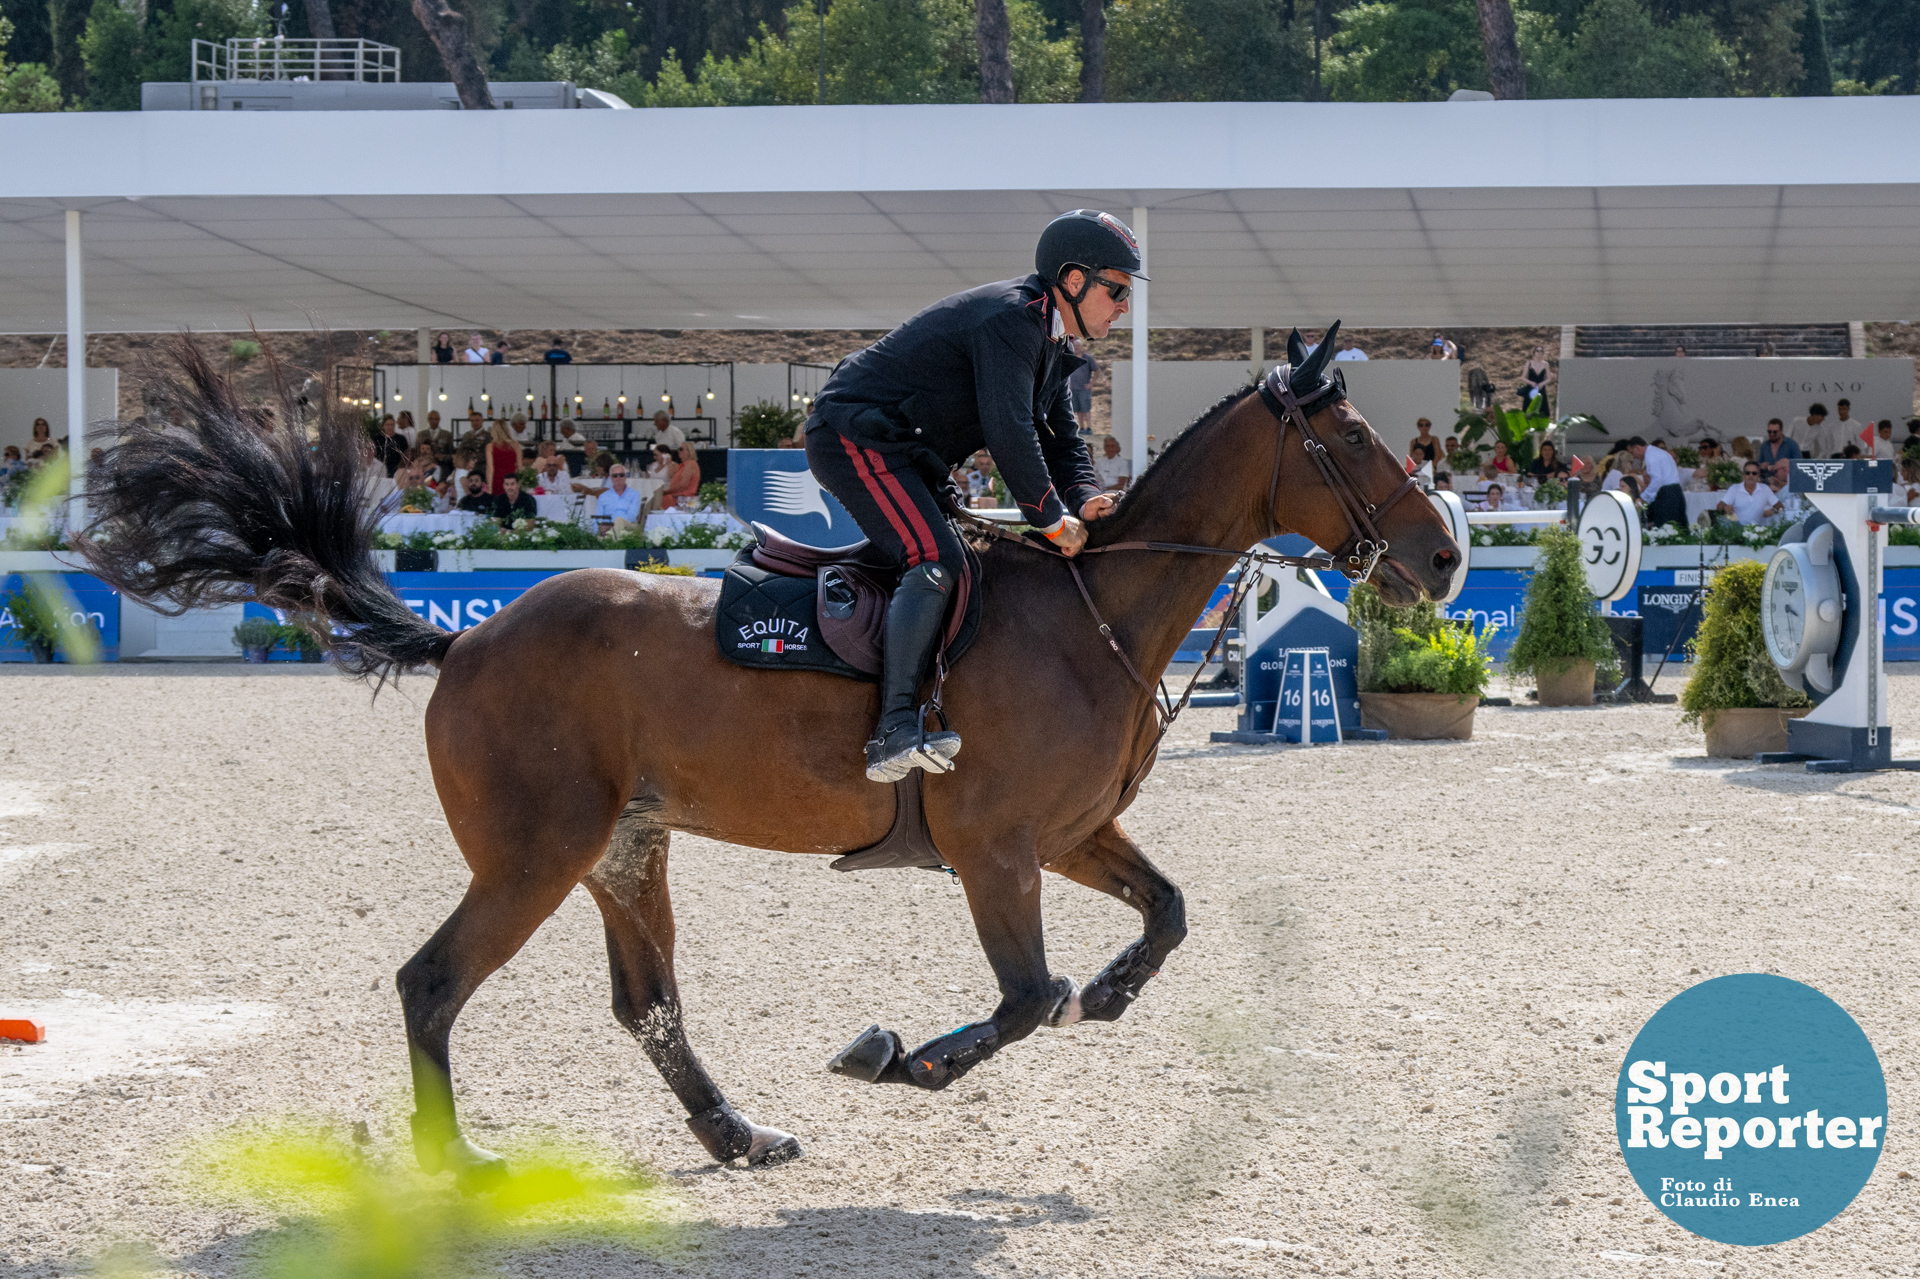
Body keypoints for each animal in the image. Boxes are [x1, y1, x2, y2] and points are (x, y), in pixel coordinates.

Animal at [78, 326, 1451, 1175]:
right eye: (1351, 444)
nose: (1440, 559)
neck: (1093, 611)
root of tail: (465, 643)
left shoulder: (1070, 835)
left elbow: (1164, 913)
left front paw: (1110, 993)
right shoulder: (996, 850)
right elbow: (1024, 995)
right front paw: (903, 1058)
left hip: (625, 852)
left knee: (648, 1005)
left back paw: (738, 1136)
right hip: (532, 856)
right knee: (433, 983)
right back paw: (454, 1158)